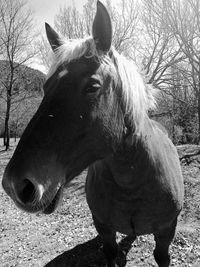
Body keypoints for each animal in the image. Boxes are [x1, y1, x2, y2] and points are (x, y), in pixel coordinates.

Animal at [2, 2, 184, 267]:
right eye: (46, 88)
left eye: (92, 86)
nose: (15, 185)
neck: (131, 181)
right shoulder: (104, 228)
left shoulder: (166, 232)